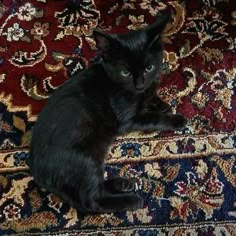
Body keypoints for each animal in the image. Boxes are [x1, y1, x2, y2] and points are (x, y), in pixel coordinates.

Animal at [28, 11, 187, 214]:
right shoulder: (127, 119)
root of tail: (38, 173)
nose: (139, 84)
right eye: (125, 72)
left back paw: (121, 183)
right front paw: (175, 119)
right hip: (87, 159)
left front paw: (161, 103)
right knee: (90, 202)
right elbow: (153, 117)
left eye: (149, 67)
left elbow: (151, 95)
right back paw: (131, 200)